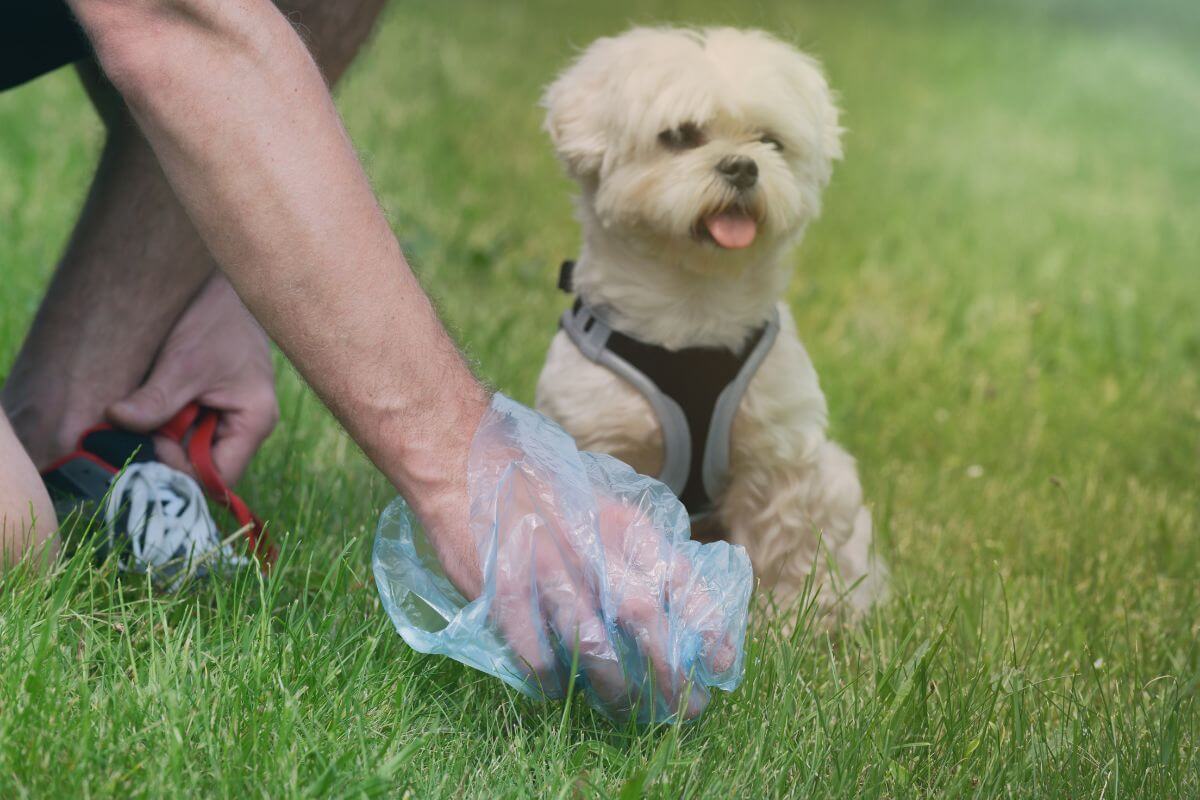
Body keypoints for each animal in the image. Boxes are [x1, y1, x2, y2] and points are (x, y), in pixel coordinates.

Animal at [535, 28, 883, 623]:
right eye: (679, 135)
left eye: (770, 141)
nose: (743, 166)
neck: (694, 310)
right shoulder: (602, 445)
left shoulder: (775, 451)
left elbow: (784, 540)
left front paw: (788, 620)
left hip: (833, 477)